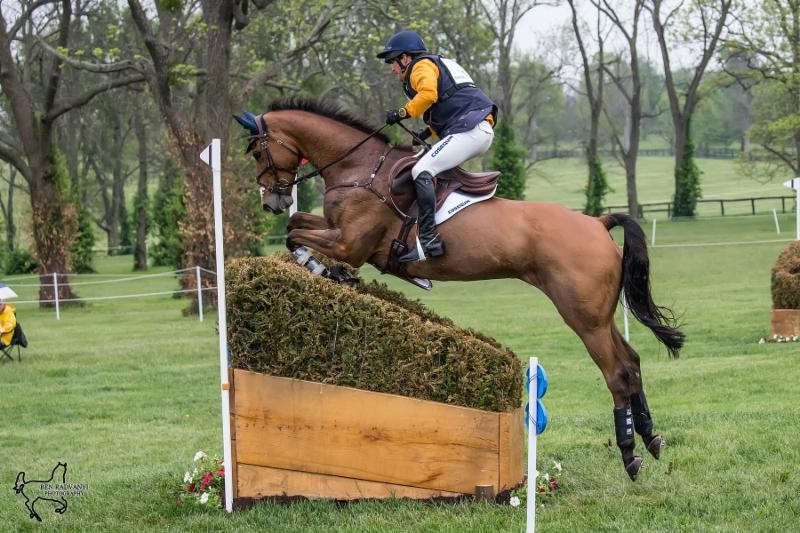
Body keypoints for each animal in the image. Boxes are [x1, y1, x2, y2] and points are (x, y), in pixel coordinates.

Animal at [234, 97, 684, 481]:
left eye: (257, 152)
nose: (272, 202)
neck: (360, 171)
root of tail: (597, 222)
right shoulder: (338, 234)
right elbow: (296, 227)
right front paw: (326, 269)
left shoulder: (349, 244)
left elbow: (296, 237)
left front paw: (323, 269)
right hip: (598, 315)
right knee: (633, 362)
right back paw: (652, 437)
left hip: (583, 318)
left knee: (617, 373)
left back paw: (630, 455)